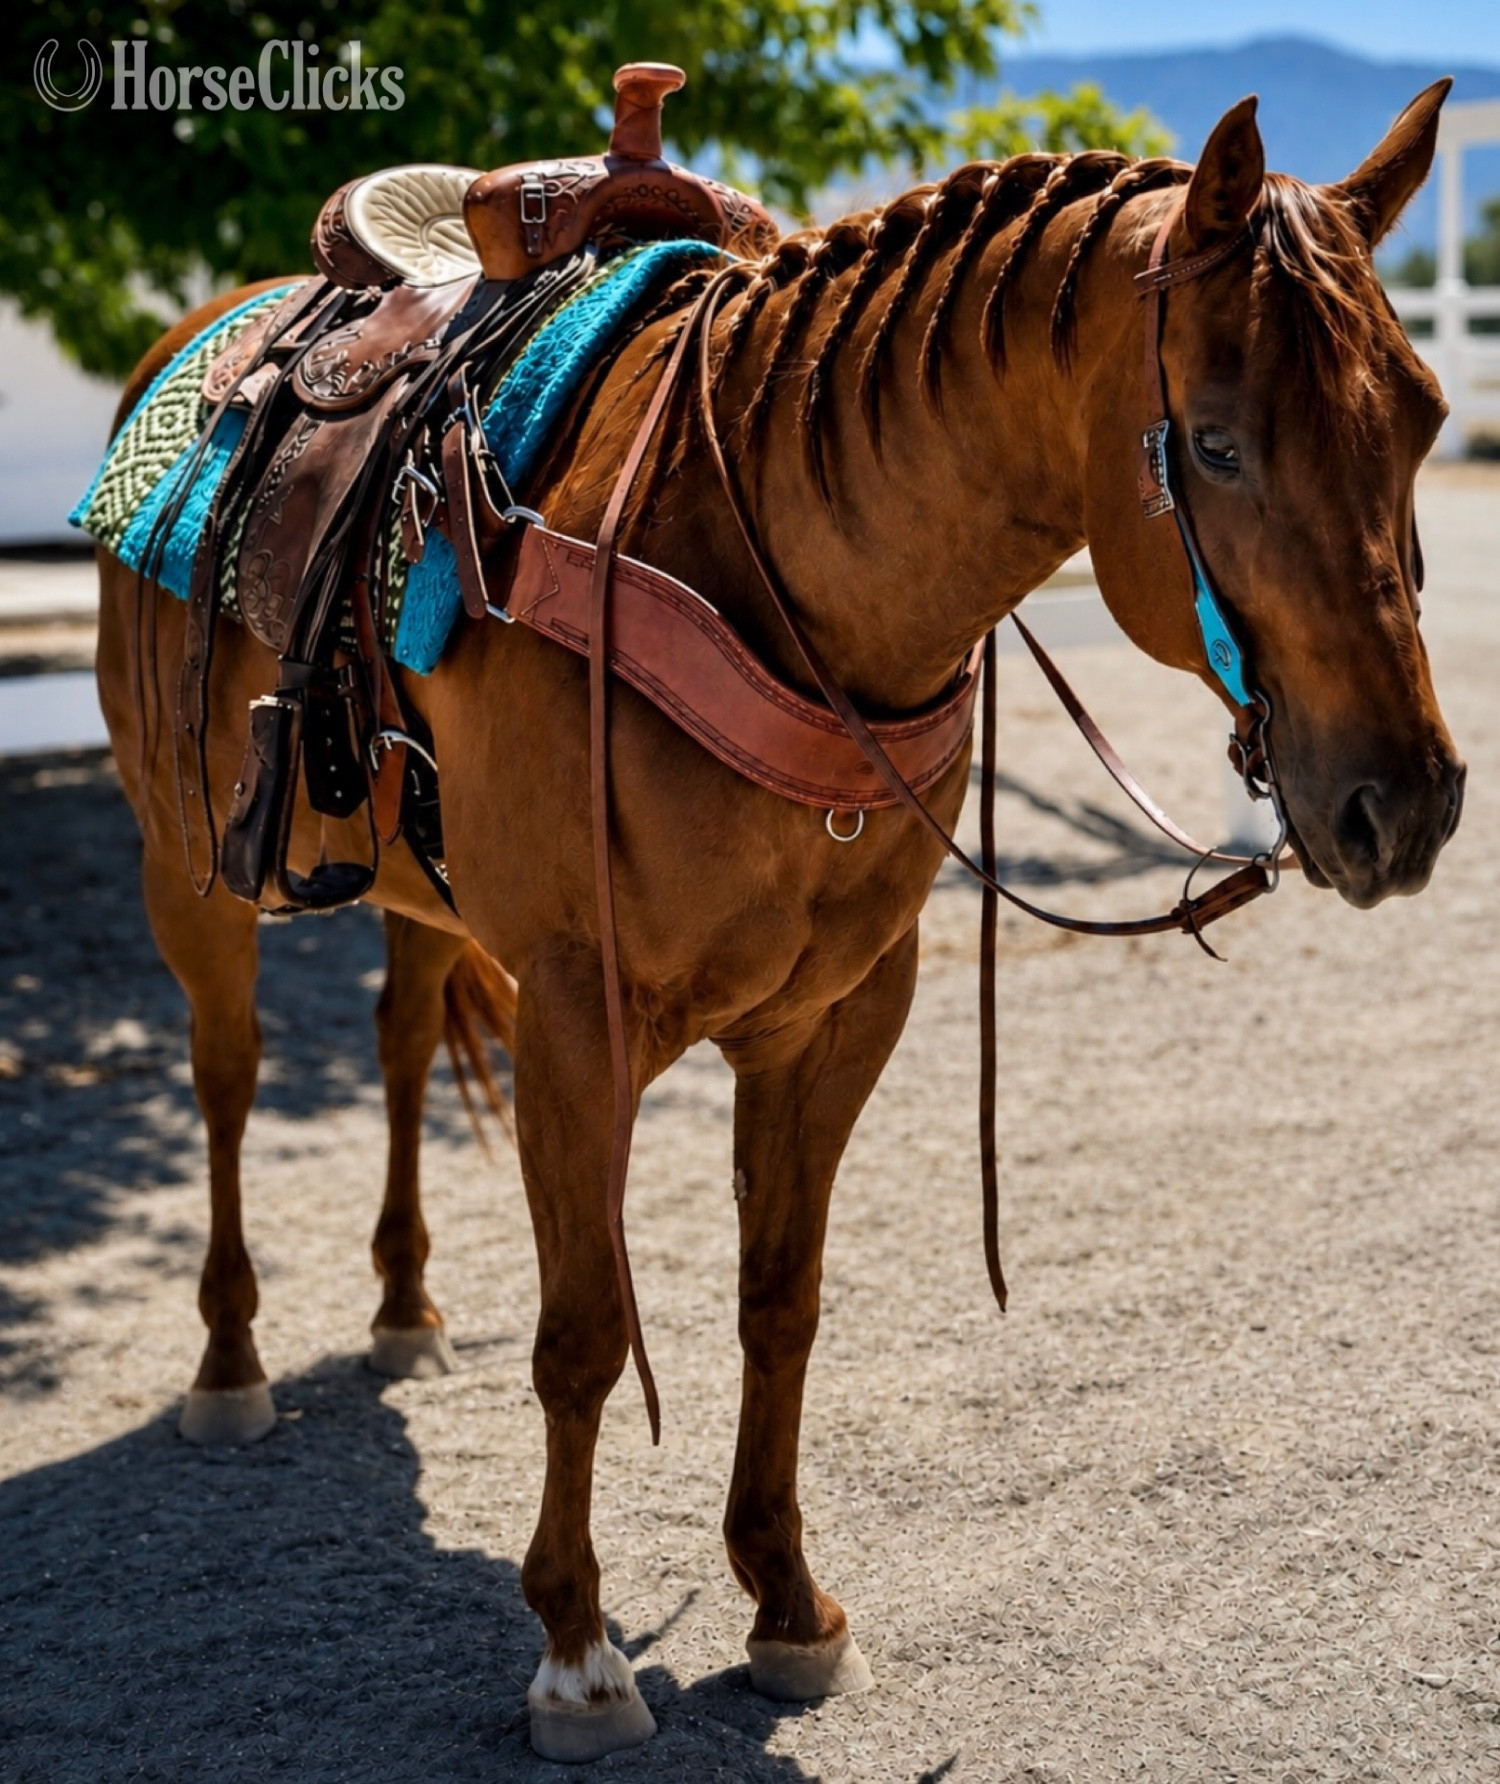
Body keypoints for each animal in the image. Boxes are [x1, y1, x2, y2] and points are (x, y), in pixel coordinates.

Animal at [93, 86, 1464, 1760]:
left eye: (1425, 417)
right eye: (1215, 442)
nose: (1408, 803)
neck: (756, 560)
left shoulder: (838, 1020)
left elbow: (782, 1305)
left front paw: (787, 1602)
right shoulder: (578, 1019)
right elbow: (584, 1334)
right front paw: (576, 1649)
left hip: (419, 890)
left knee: (404, 1039)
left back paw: (407, 1305)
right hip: (184, 861)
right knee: (226, 1083)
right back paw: (230, 1359)